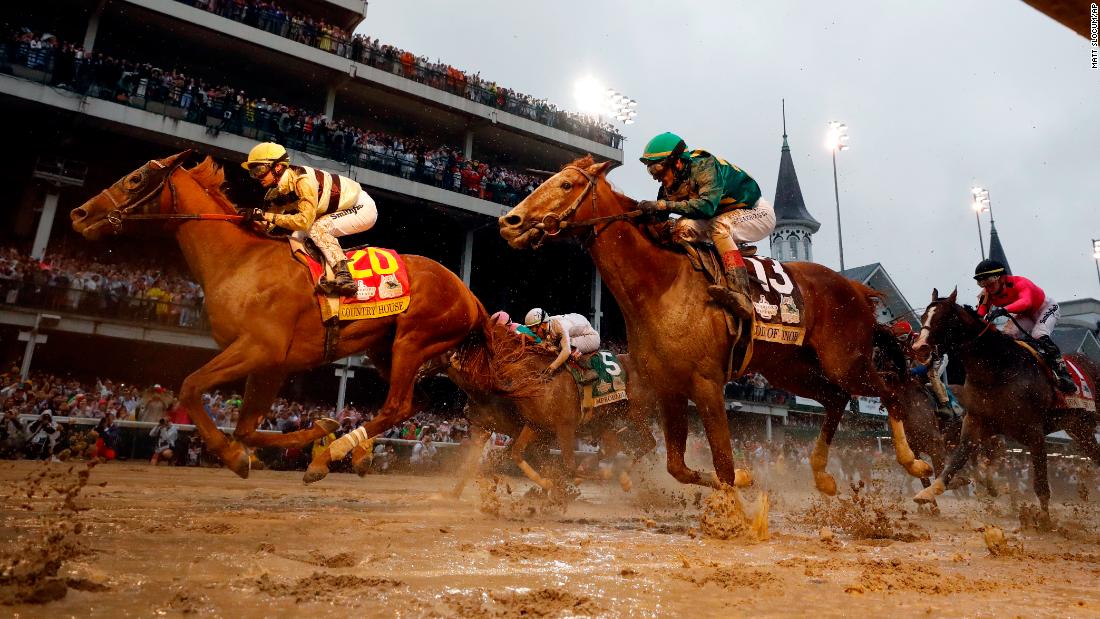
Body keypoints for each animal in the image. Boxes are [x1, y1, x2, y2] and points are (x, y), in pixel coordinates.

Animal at [72, 152, 506, 481]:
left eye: (135, 179)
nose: (79, 213)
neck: (241, 260)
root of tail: (470, 295)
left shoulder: (257, 347)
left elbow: (191, 386)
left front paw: (234, 456)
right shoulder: (271, 365)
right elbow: (247, 428)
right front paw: (308, 432)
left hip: (413, 341)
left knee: (397, 407)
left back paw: (331, 454)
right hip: (387, 349)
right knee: (414, 403)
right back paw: (356, 453)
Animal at [499, 157, 928, 496]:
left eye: (566, 184)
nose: (509, 221)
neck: (662, 285)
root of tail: (856, 289)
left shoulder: (706, 383)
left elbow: (722, 461)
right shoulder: (669, 387)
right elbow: (679, 466)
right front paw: (742, 479)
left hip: (845, 361)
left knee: (889, 391)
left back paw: (915, 464)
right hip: (792, 370)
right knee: (837, 399)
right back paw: (823, 475)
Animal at [910, 290, 1100, 518]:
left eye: (944, 318)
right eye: (923, 317)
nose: (918, 348)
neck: (998, 369)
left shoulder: (1034, 433)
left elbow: (1041, 486)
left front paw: (1044, 521)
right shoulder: (974, 425)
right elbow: (954, 463)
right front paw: (928, 494)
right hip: (1079, 428)